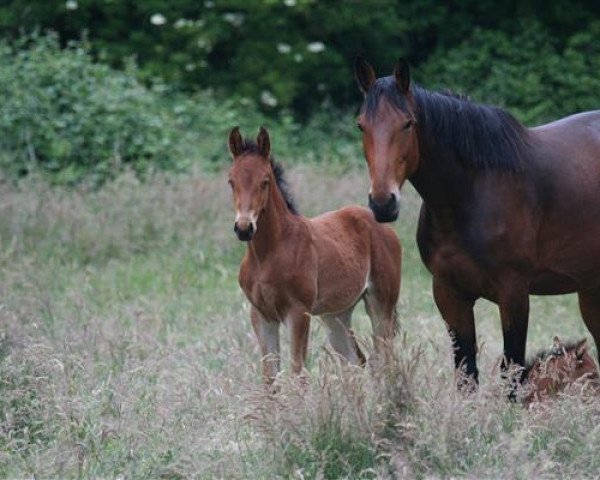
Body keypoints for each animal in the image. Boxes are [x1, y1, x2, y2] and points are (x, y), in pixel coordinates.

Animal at [227, 125, 400, 384]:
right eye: (231, 181)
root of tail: (381, 223)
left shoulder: (298, 313)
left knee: (385, 359)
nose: (244, 228)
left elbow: (298, 373)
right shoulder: (261, 316)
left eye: (265, 181)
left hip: (380, 304)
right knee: (355, 360)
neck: (268, 254)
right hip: (336, 314)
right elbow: (270, 378)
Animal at [354, 57, 600, 386]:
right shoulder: (449, 295)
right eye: (361, 125)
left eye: (408, 123)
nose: (383, 203)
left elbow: (512, 372)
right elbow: (466, 374)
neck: (470, 194)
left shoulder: (514, 295)